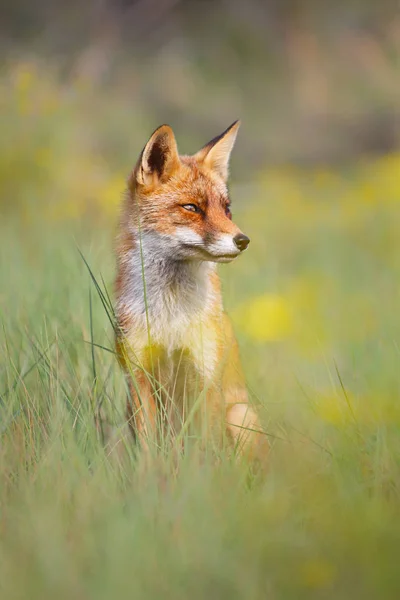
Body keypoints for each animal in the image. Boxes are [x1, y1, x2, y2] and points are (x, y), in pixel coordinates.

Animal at [114, 120, 268, 460]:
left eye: (227, 209)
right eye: (191, 207)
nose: (243, 240)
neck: (172, 315)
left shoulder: (204, 375)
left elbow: (203, 450)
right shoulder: (139, 376)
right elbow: (148, 448)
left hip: (240, 415)